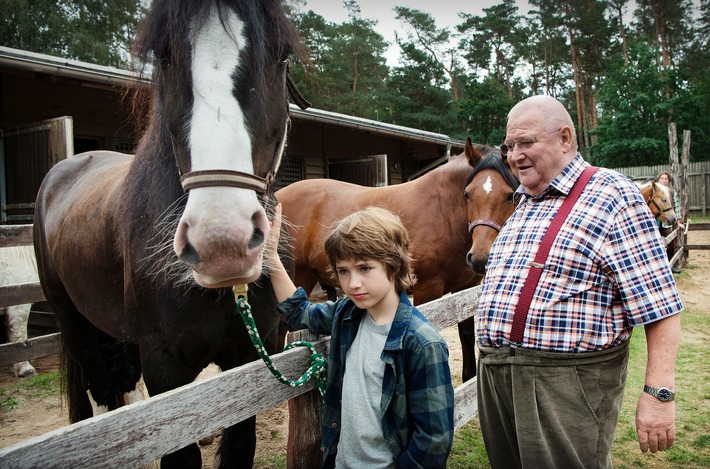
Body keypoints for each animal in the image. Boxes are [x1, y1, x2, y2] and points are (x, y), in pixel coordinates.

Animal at [34, 1, 306, 466]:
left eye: (282, 54)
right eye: (163, 56)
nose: (221, 242)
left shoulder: (252, 358)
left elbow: (239, 446)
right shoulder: (164, 368)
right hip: (73, 324)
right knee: (98, 398)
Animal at [276, 138, 516, 380]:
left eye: (509, 195)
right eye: (467, 194)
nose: (480, 258)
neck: (444, 211)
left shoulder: (464, 289)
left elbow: (466, 334)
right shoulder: (427, 290)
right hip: (301, 277)